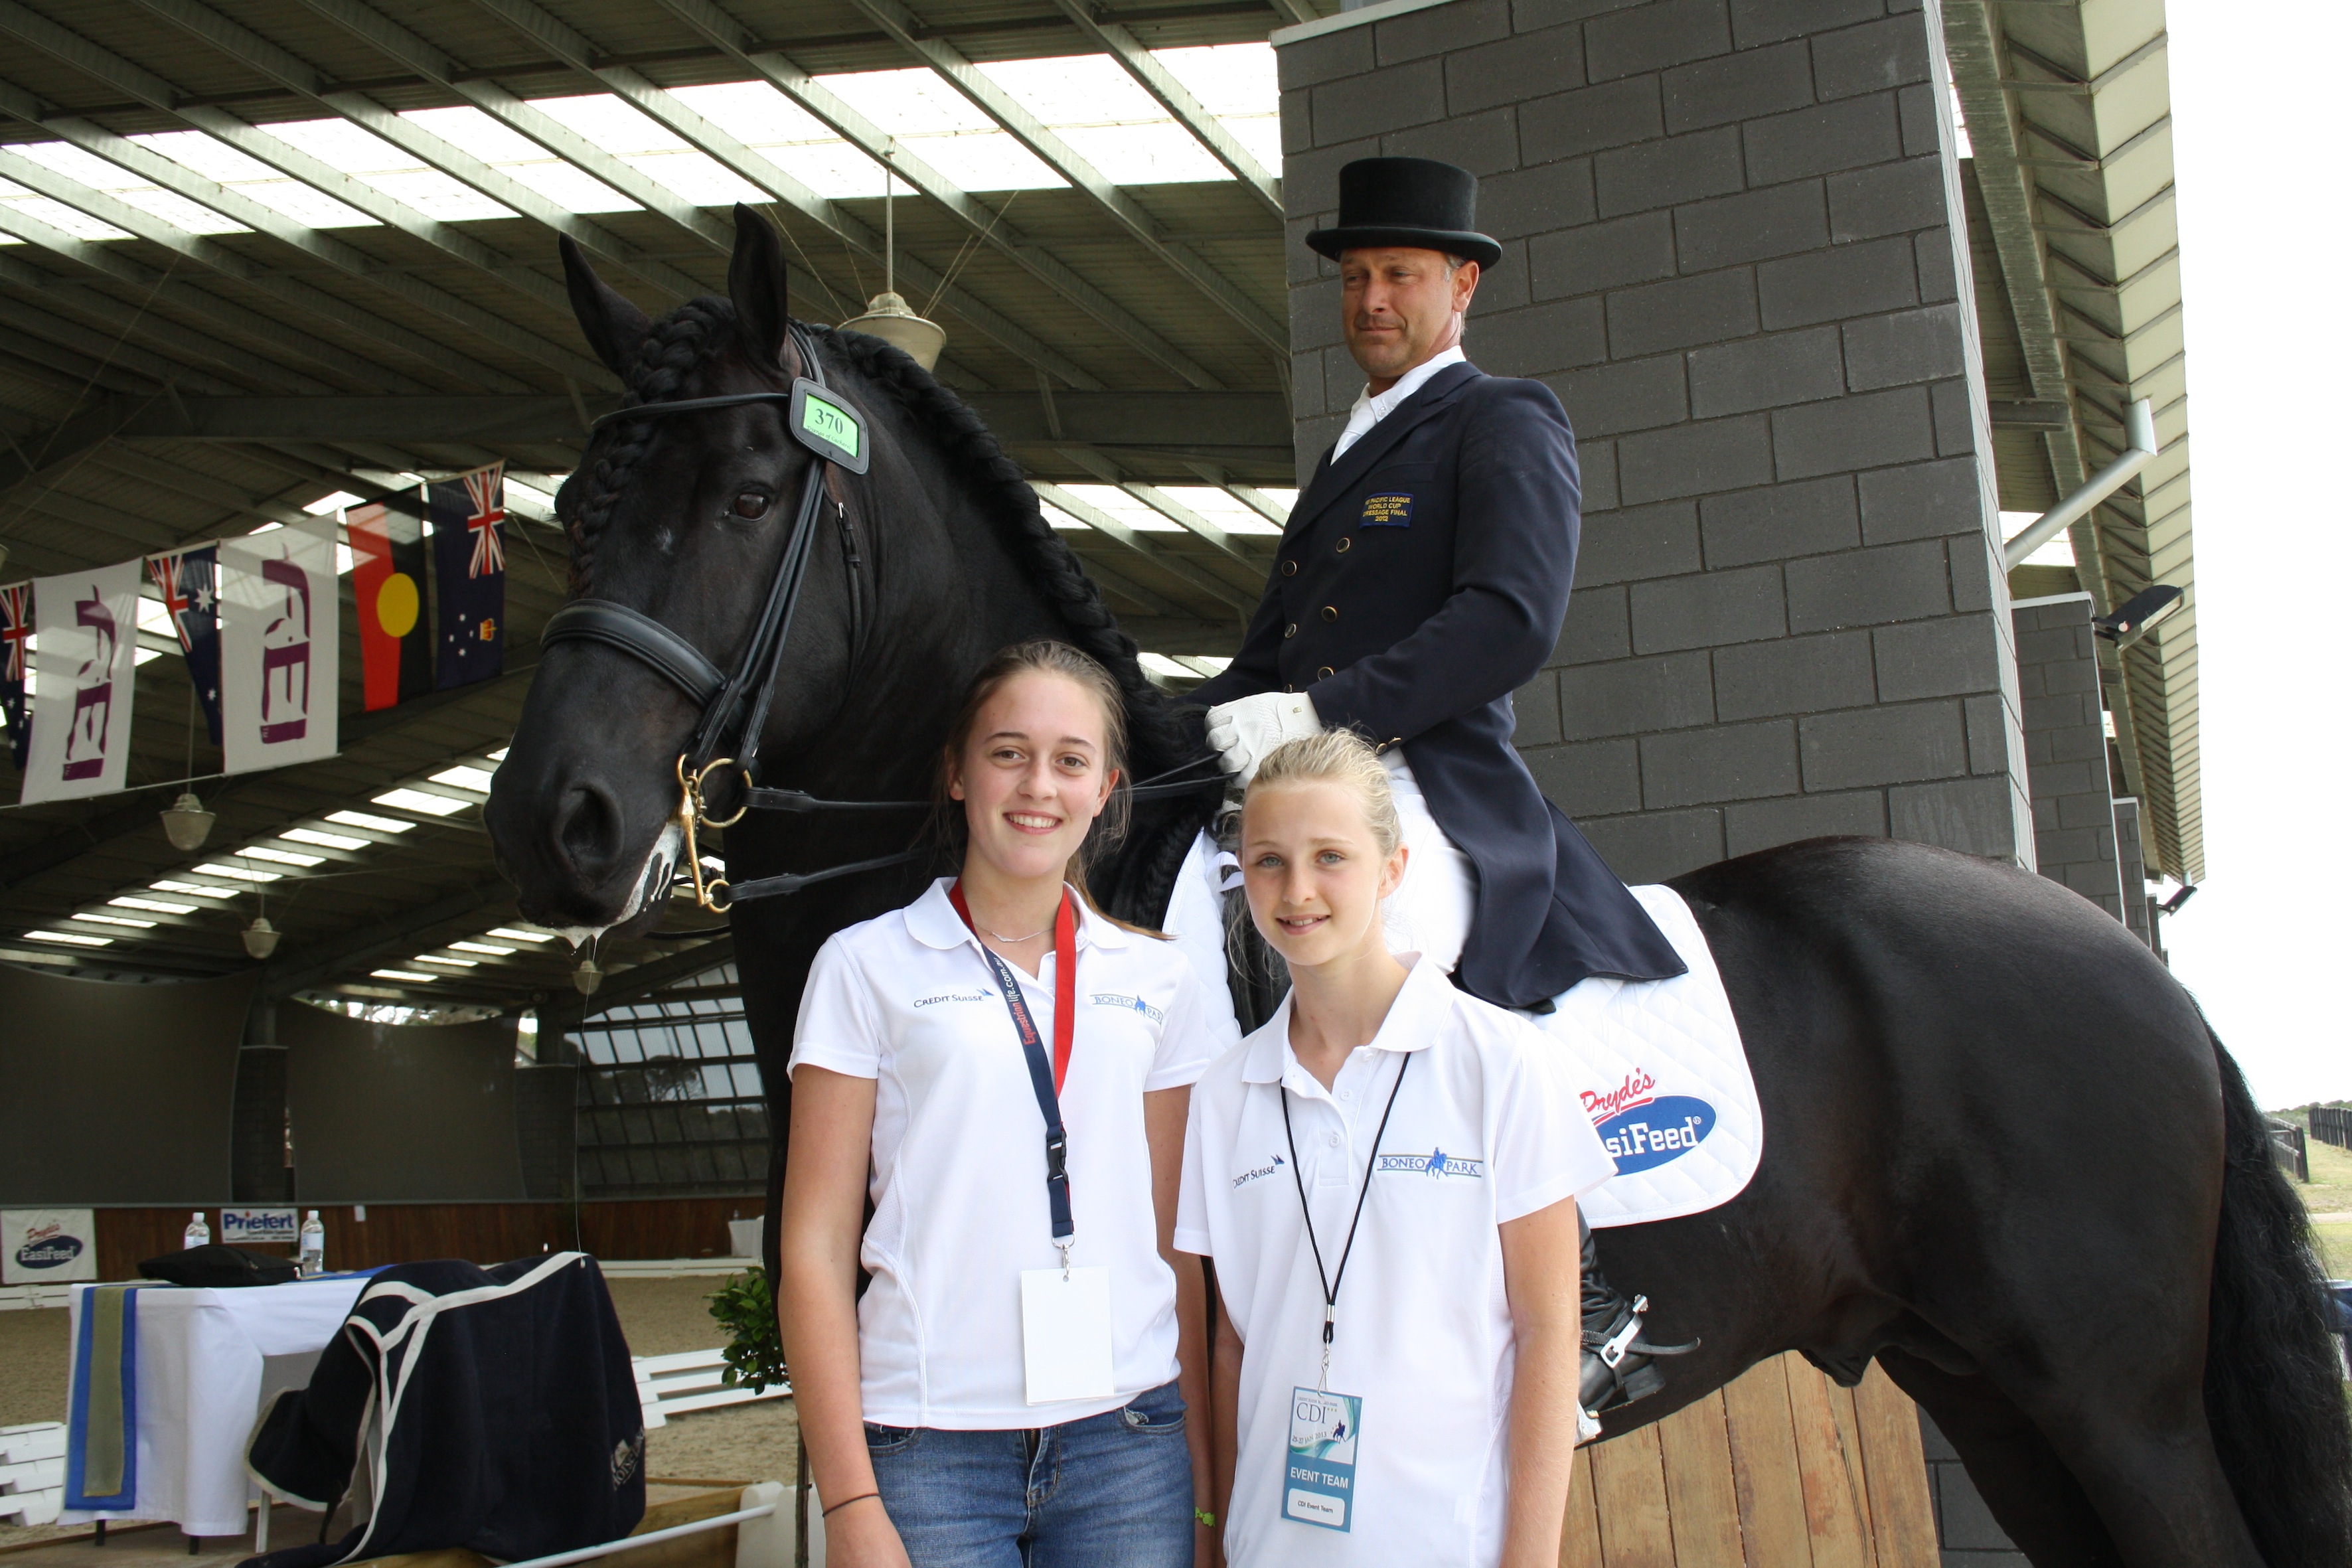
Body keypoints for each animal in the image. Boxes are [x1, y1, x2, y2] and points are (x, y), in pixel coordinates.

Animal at [487, 211, 2342, 1568]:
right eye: (572, 507)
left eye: (746, 495)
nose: (548, 822)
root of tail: (2137, 966)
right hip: (1985, 1382)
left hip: (2110, 1396)